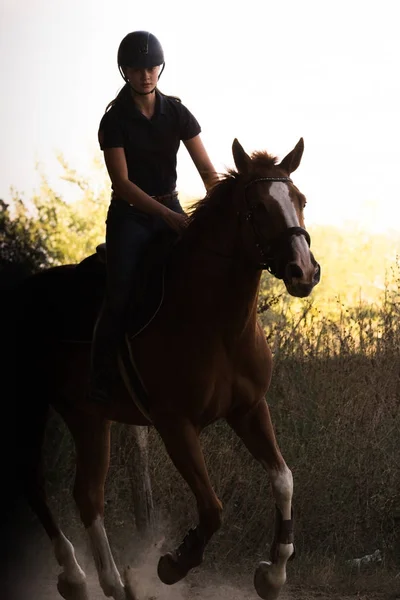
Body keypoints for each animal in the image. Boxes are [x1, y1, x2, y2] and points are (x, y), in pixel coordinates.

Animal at [12, 137, 320, 600]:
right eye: (259, 208)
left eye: (299, 200)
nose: (304, 271)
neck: (216, 325)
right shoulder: (175, 424)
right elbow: (212, 509)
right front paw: (174, 564)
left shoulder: (248, 409)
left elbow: (284, 479)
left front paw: (272, 574)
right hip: (31, 405)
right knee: (34, 483)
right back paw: (76, 576)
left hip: (87, 417)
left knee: (87, 495)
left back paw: (112, 583)